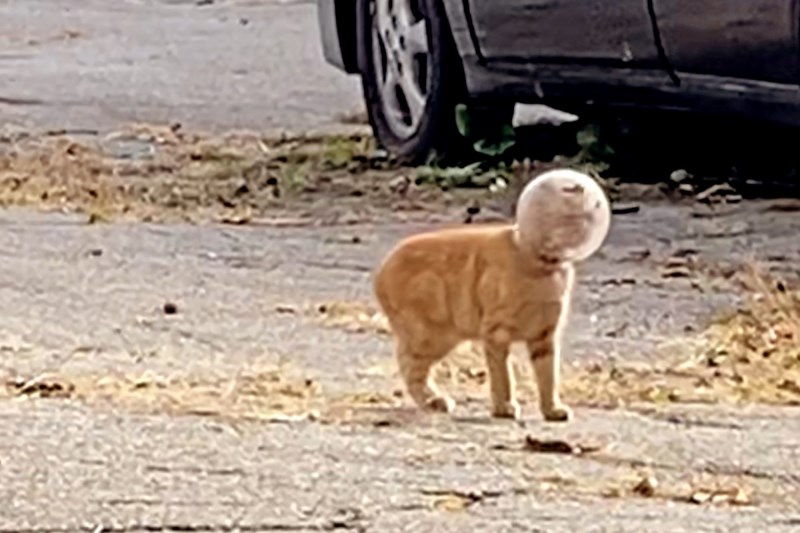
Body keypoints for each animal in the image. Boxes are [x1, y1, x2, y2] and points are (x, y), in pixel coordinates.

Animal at [372, 168, 608, 422]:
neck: (542, 269)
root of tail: (381, 269)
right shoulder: (496, 334)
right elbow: (503, 376)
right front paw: (504, 407)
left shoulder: (545, 337)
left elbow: (548, 377)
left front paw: (552, 409)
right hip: (431, 335)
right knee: (408, 364)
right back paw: (433, 401)